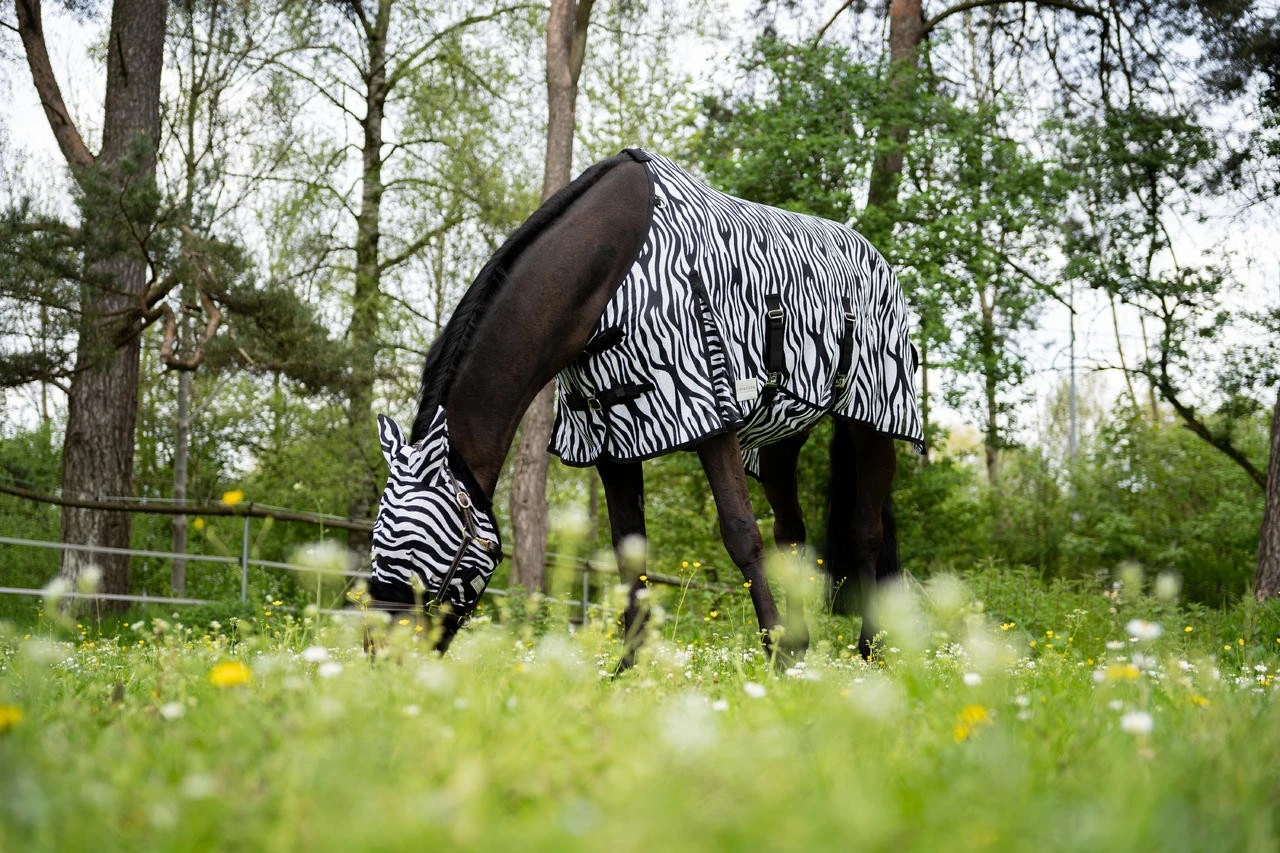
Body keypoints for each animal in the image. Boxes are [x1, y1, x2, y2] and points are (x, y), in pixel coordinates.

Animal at [365, 149, 923, 668]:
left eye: (413, 549)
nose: (379, 654)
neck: (611, 279)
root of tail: (877, 257)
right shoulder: (611, 441)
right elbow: (628, 550)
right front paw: (627, 669)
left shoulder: (711, 416)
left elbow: (741, 534)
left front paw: (773, 660)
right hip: (781, 439)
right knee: (792, 537)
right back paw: (802, 647)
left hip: (875, 422)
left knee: (865, 531)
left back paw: (868, 652)